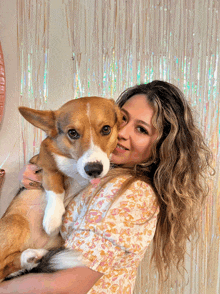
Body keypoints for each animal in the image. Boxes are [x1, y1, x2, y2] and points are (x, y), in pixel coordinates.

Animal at [0, 96, 122, 280]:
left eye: (106, 129)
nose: (93, 170)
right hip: (17, 222)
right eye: (72, 133)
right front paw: (52, 219)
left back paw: (30, 258)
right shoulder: (45, 161)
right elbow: (56, 184)